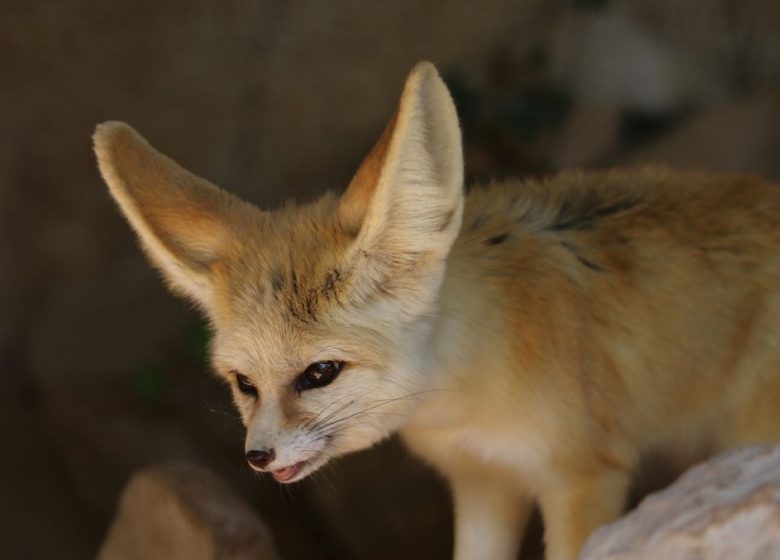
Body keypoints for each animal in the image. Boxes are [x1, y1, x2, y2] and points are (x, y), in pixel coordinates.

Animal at [94, 62, 780, 560]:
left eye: (320, 373)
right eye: (243, 383)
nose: (256, 457)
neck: (468, 394)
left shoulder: (583, 478)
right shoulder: (482, 484)